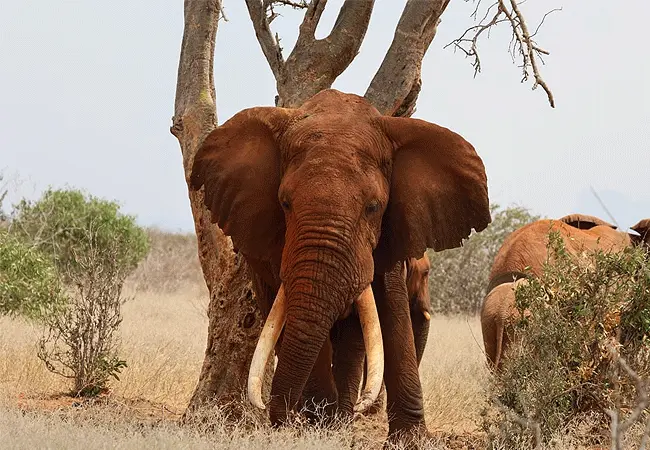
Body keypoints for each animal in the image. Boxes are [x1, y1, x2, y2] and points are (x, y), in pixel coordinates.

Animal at [189, 89, 491, 442]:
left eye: (373, 207)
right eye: (285, 203)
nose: (281, 419)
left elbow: (390, 308)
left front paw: (408, 440)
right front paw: (319, 425)